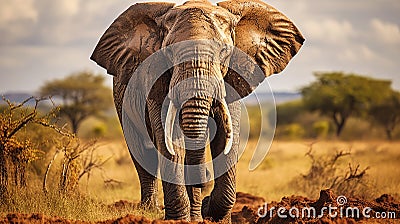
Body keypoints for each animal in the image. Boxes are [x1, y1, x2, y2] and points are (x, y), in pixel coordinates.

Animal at [90, 0, 304, 221]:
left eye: (224, 51)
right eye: (168, 53)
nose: (204, 179)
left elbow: (228, 138)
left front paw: (213, 212)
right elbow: (170, 140)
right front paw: (179, 219)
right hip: (122, 100)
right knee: (142, 152)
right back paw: (150, 211)